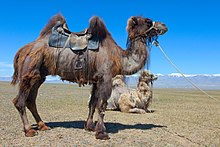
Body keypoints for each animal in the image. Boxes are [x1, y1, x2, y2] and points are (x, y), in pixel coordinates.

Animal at [11, 13, 167, 139]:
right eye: (148, 21)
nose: (164, 26)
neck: (119, 57)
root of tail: (22, 50)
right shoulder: (105, 78)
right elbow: (102, 105)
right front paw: (101, 133)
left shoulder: (96, 80)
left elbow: (92, 103)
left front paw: (90, 126)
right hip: (29, 71)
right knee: (19, 101)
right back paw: (29, 130)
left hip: (39, 76)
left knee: (31, 100)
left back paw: (43, 126)